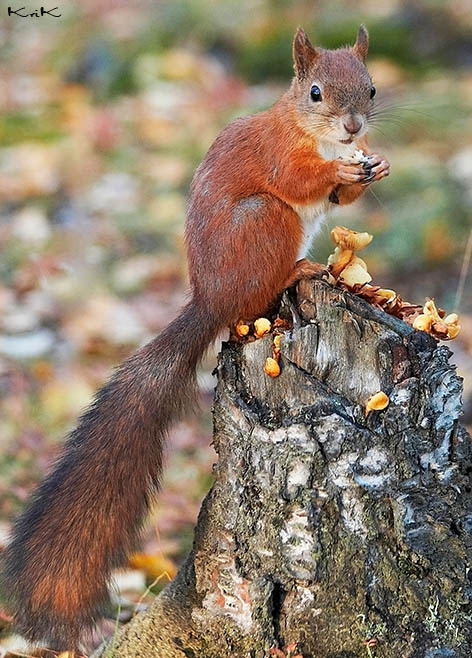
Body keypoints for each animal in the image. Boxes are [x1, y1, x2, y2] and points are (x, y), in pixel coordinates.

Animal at [2, 26, 390, 651]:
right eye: (315, 92)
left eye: (372, 87)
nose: (355, 128)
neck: (314, 134)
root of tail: (213, 302)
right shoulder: (280, 156)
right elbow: (301, 179)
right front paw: (341, 174)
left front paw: (372, 169)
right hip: (267, 222)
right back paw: (299, 271)